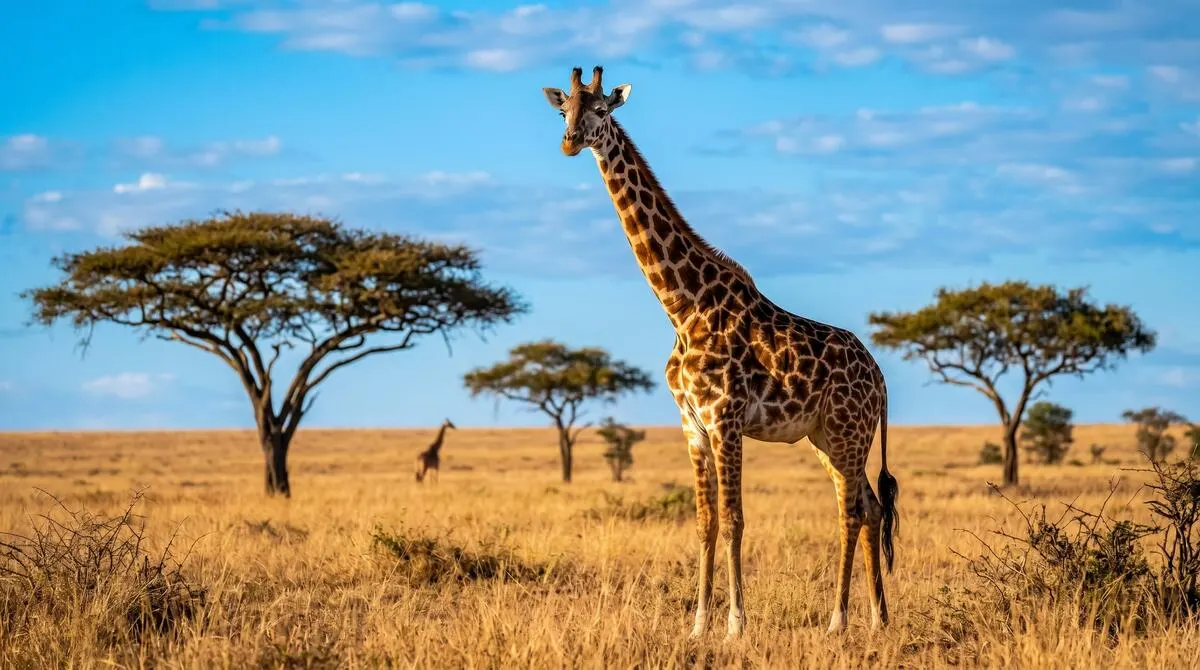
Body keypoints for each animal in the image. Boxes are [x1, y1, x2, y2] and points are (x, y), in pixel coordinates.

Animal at [542, 66, 900, 639]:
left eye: (601, 110)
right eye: (562, 110)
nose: (571, 141)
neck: (682, 307)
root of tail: (881, 378)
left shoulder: (725, 419)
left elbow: (735, 520)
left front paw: (735, 624)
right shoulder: (692, 424)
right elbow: (705, 522)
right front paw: (698, 624)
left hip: (848, 433)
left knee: (851, 510)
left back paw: (838, 620)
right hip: (826, 437)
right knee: (868, 506)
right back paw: (877, 618)